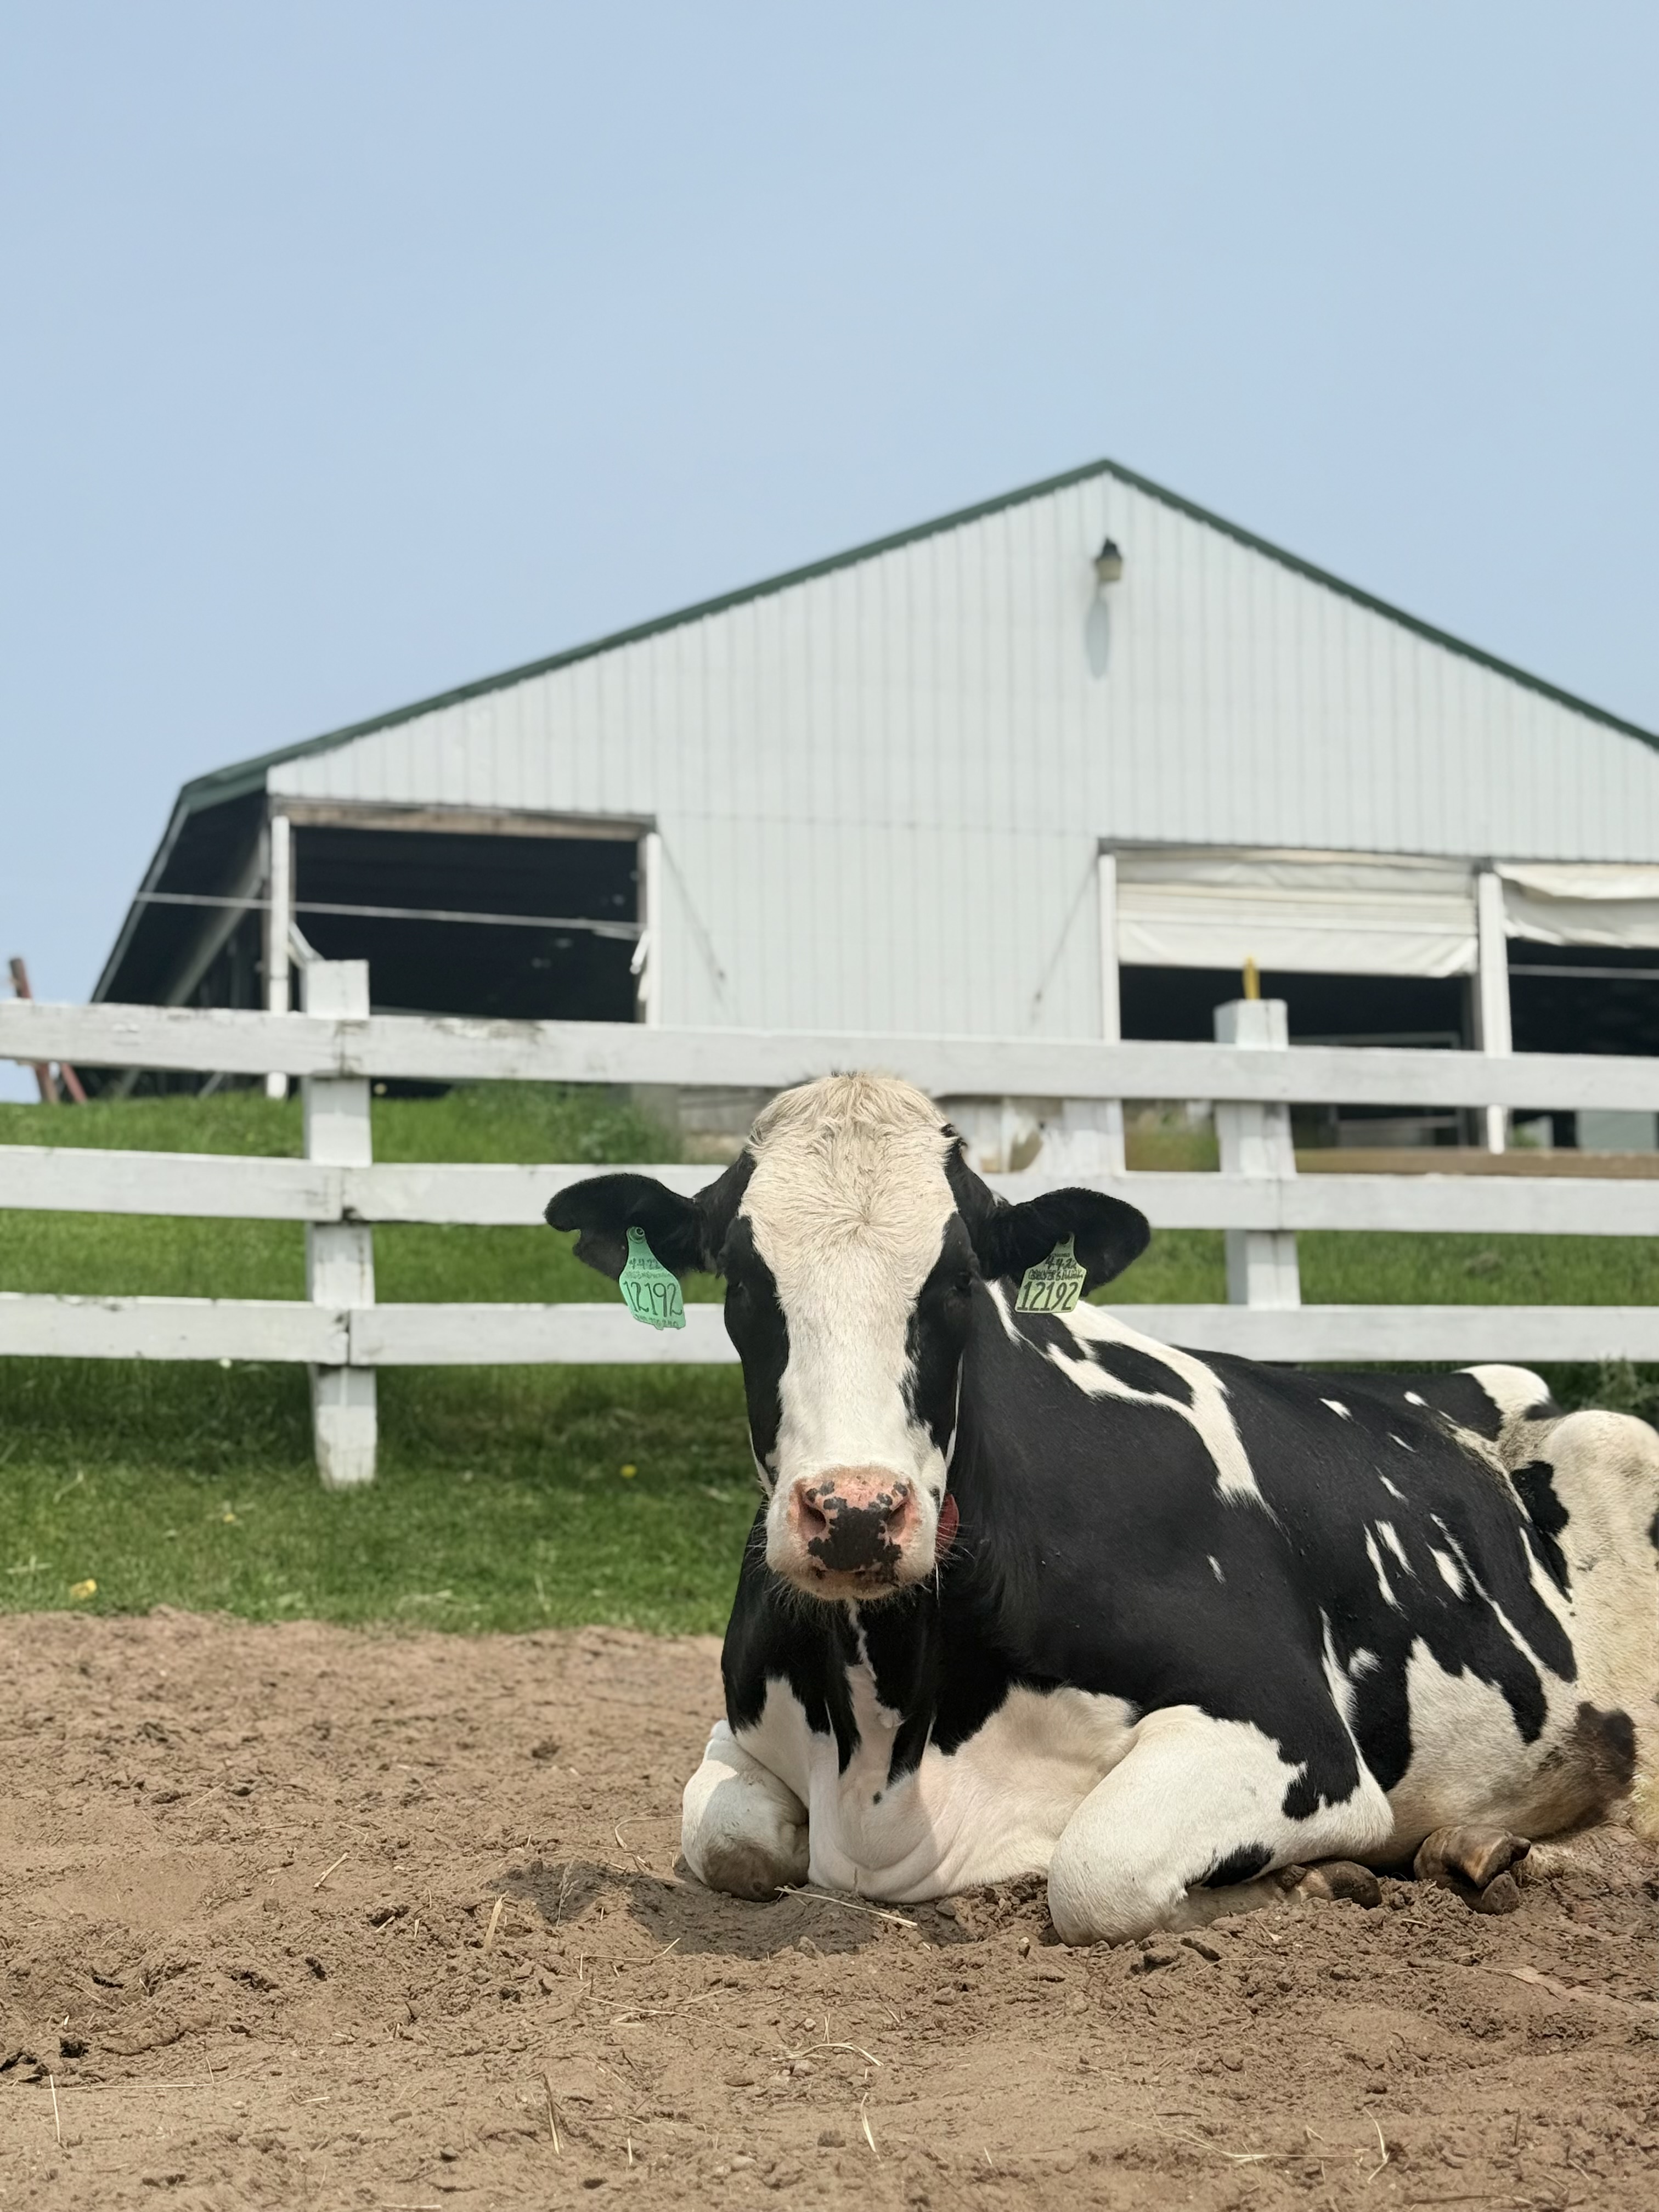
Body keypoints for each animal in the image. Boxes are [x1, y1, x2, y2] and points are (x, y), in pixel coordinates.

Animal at [547, 1074, 1659, 1944]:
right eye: (739, 1278)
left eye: (958, 1281)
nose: (856, 1513)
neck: (887, 1738)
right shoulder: (740, 1730)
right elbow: (727, 1842)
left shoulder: (1296, 1733)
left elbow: (1097, 1872)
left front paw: (1315, 1879)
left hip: (1621, 1453)